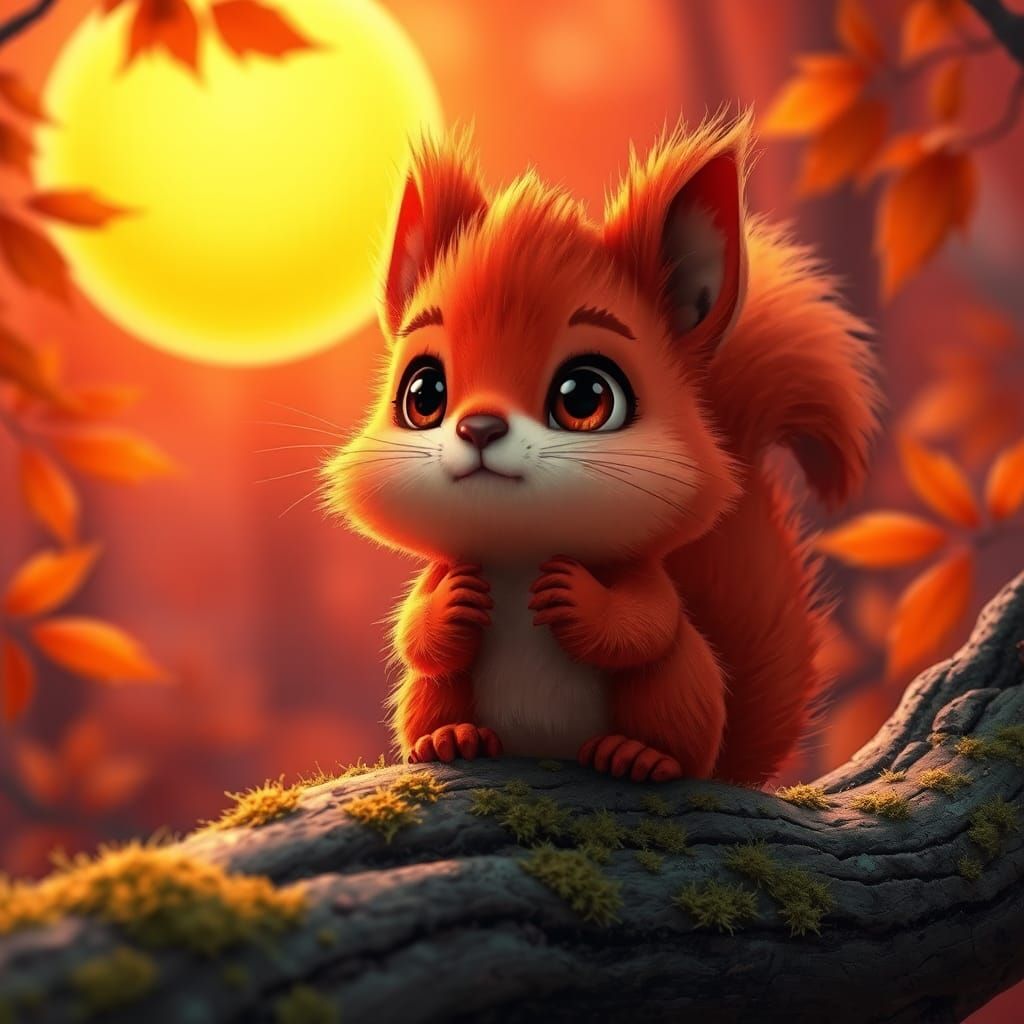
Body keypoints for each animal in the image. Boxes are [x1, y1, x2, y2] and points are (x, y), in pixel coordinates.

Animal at [324, 112, 881, 786]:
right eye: (423, 394)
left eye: (586, 395)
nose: (478, 428)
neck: (519, 552)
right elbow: (413, 632)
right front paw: (454, 601)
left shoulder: (644, 580)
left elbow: (645, 624)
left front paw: (574, 595)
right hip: (432, 693)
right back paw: (449, 738)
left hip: (679, 687)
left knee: (672, 710)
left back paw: (640, 755)